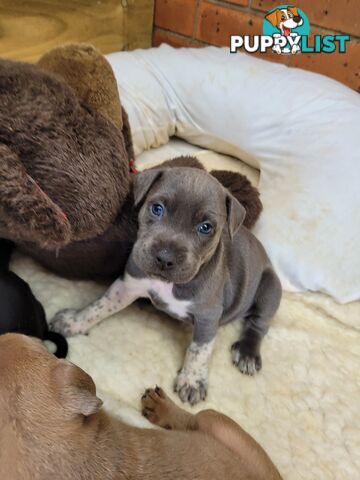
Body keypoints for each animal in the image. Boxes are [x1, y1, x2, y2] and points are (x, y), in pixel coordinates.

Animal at [50, 168, 282, 404]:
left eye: (206, 228)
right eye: (157, 208)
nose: (165, 258)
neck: (167, 284)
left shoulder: (208, 315)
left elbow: (200, 349)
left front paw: (192, 380)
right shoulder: (129, 284)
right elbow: (99, 306)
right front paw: (75, 321)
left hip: (270, 289)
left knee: (259, 324)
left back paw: (247, 353)